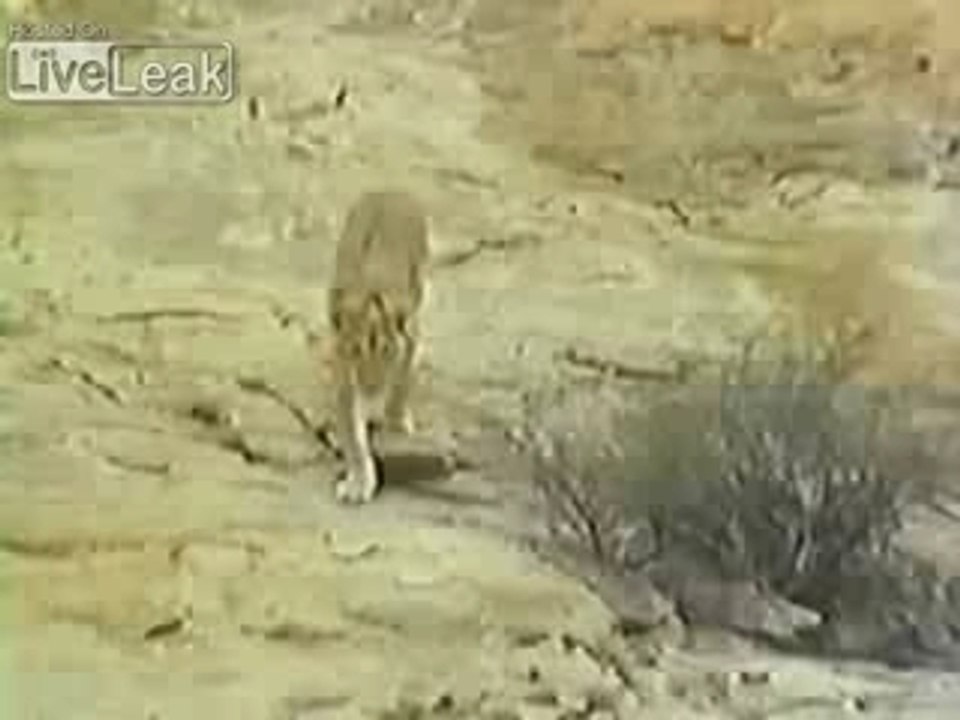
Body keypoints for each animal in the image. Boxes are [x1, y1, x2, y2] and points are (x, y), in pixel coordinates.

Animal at [326, 190, 430, 504]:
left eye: (387, 351)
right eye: (355, 351)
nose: (371, 389)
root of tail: (390, 190)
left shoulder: (409, 340)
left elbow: (401, 382)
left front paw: (396, 418)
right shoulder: (344, 375)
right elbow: (353, 436)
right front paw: (359, 482)